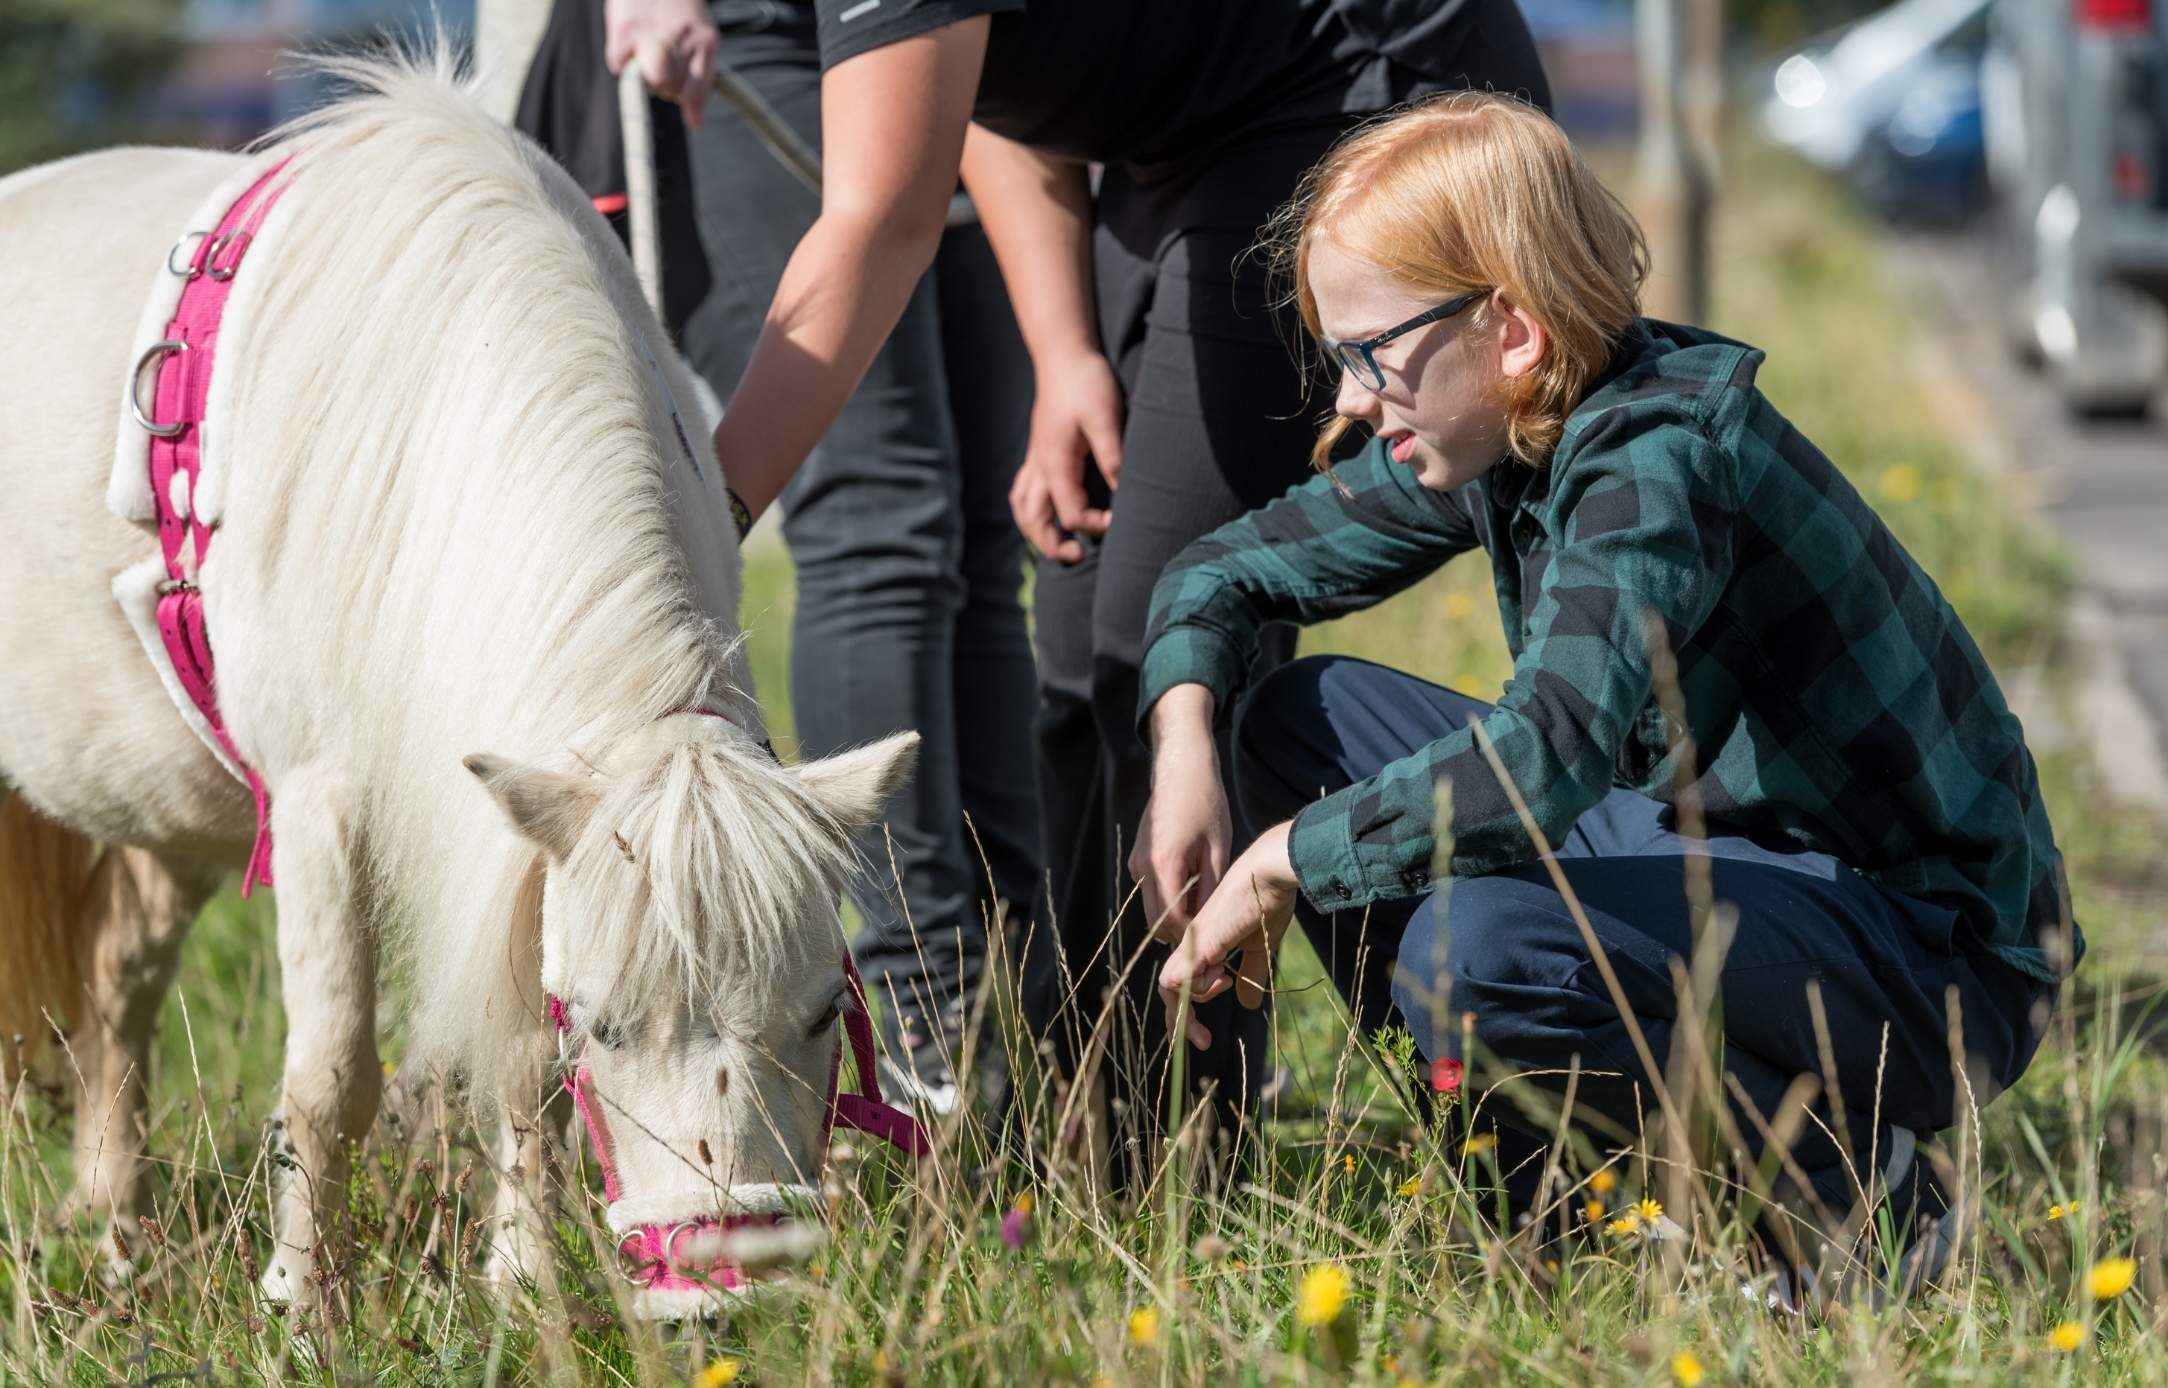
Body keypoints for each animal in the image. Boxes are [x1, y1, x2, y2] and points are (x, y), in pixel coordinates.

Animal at [0, 48, 916, 1317]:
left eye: (828, 1008)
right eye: (608, 1023)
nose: (727, 1280)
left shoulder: (522, 833)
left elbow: (519, 1062)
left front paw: (520, 1282)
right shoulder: (320, 802)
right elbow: (330, 1073)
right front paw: (306, 1301)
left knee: (118, 982)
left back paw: (116, 1227)